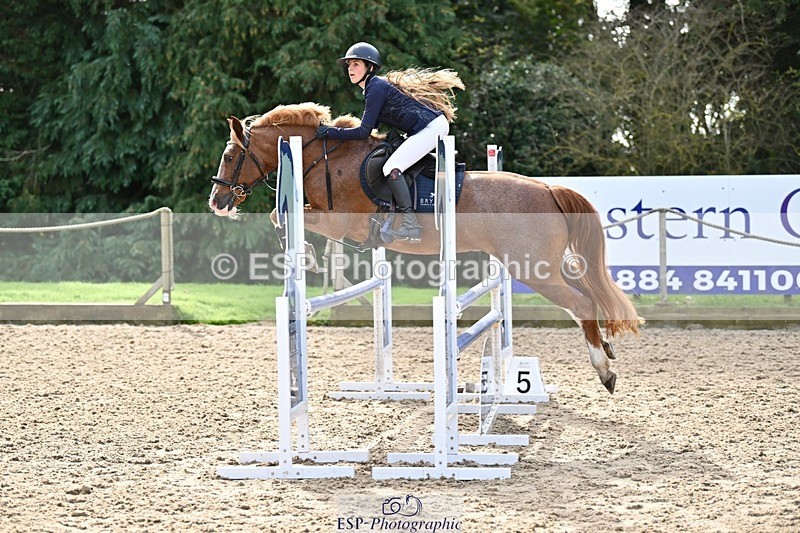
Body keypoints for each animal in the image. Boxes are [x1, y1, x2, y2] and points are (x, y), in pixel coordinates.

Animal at [208, 102, 641, 393]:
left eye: (229, 156)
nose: (217, 201)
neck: (321, 158)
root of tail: (548, 189)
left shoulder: (339, 222)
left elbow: (278, 216)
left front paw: (308, 259)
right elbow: (279, 216)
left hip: (533, 267)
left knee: (580, 302)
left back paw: (605, 370)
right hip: (544, 265)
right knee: (590, 295)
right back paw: (607, 347)